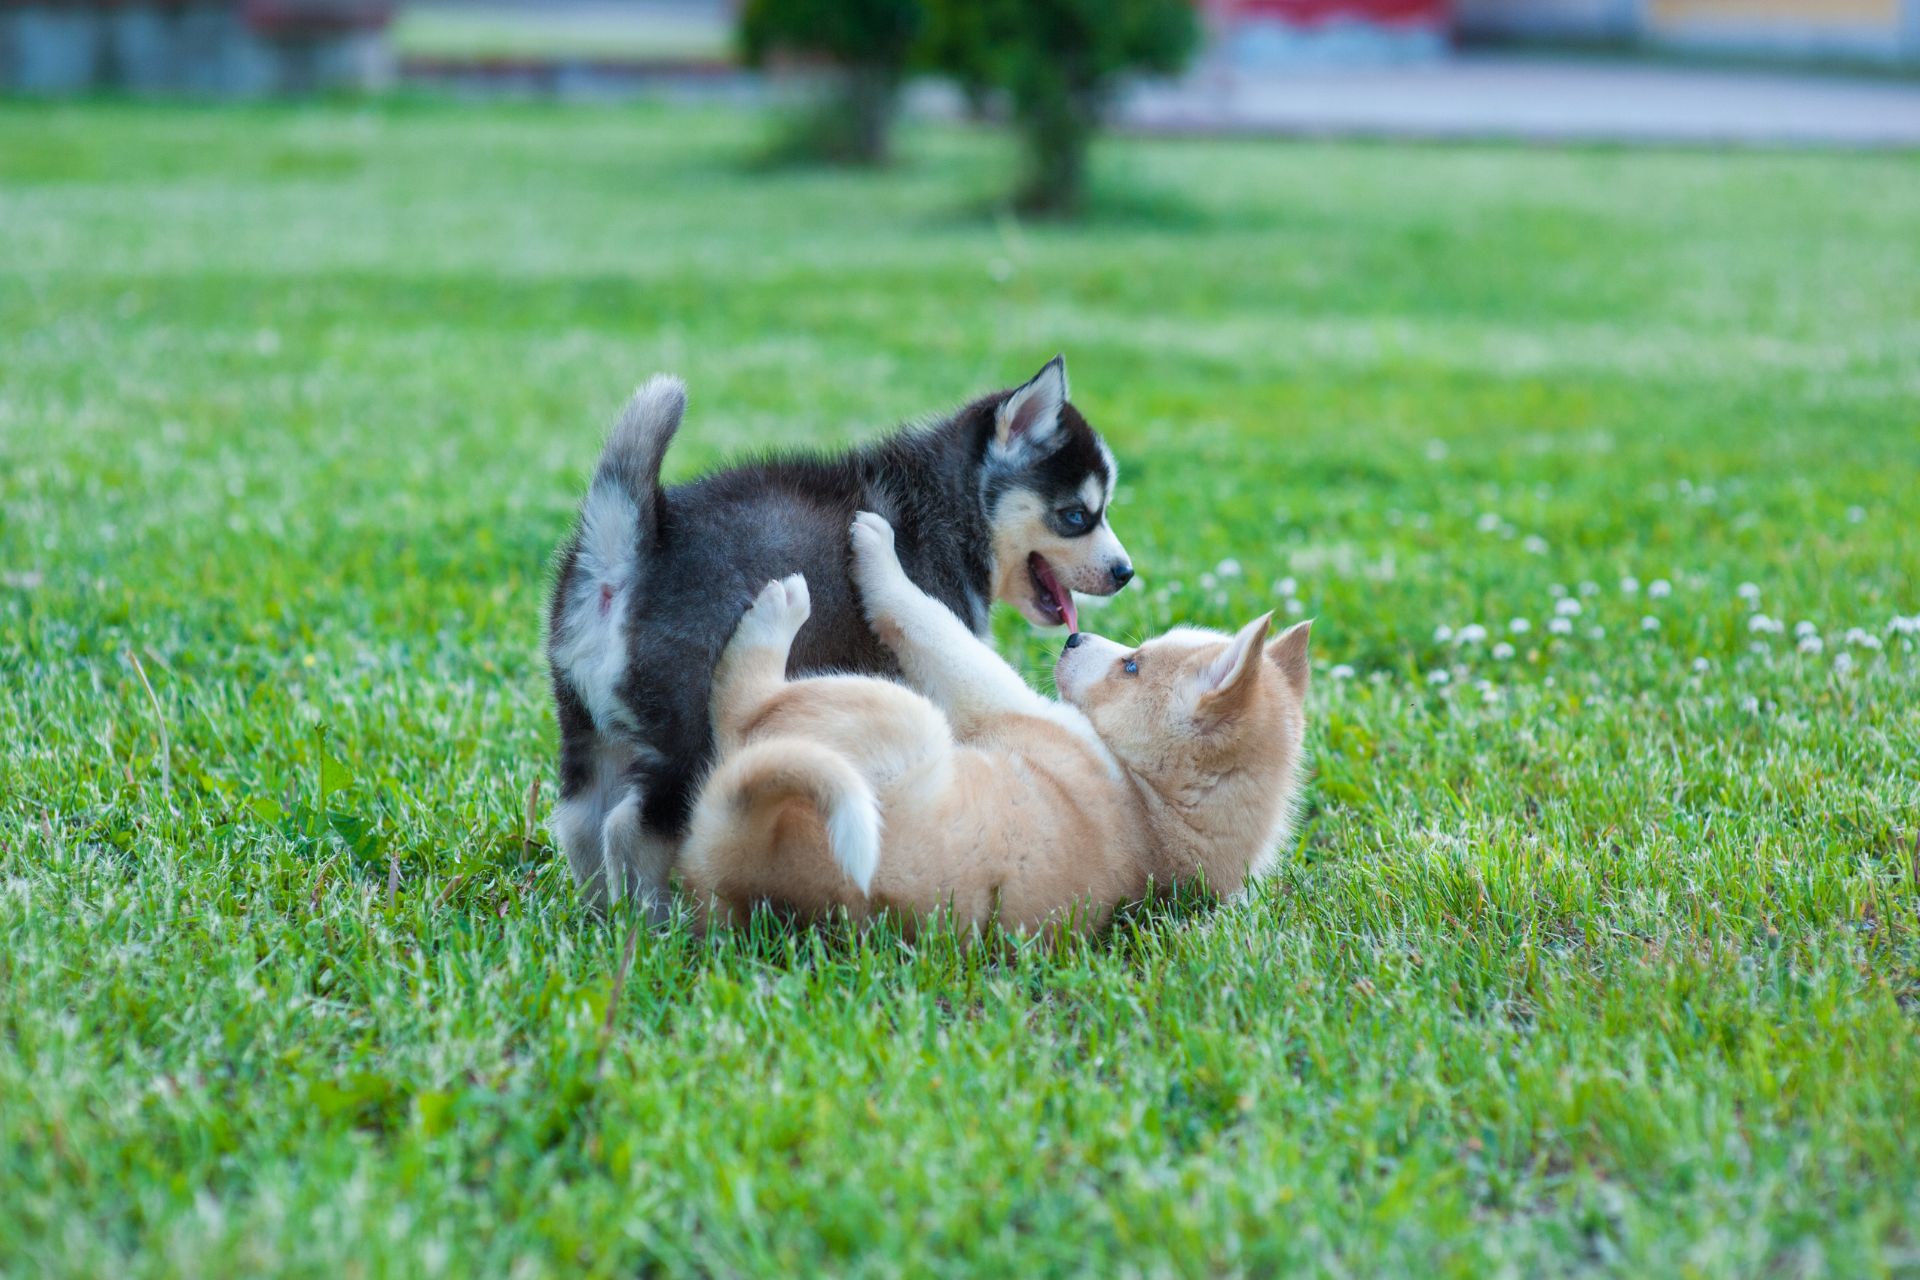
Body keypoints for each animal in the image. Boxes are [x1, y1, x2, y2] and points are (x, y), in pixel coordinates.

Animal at [549, 355, 1128, 917]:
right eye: (1077, 516)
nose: (1126, 573)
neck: (951, 503)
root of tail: (628, 553)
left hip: (585, 725)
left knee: (579, 822)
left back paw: (598, 915)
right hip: (686, 738)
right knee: (630, 828)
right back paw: (654, 921)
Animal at [672, 514, 1305, 940]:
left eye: (1132, 667)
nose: (1074, 637)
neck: (1156, 806)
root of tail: (743, 849)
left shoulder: (997, 700)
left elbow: (925, 619)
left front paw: (880, 552)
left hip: (890, 712)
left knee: (741, 711)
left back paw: (778, 612)